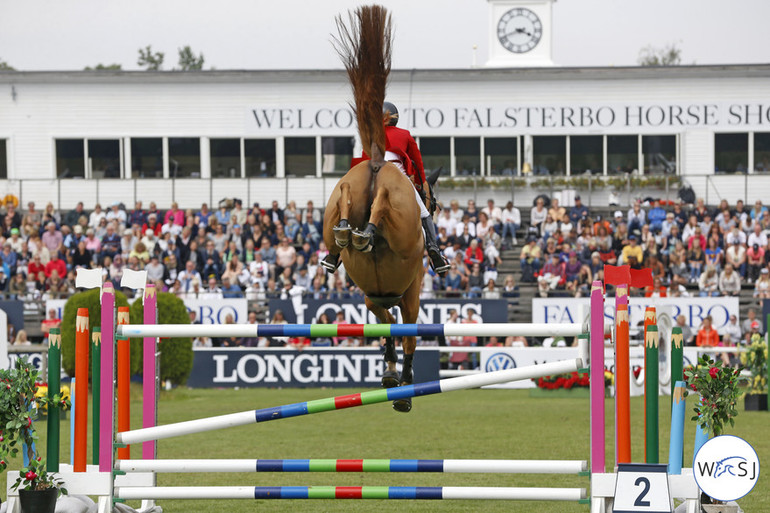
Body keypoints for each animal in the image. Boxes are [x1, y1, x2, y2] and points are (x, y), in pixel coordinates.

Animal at [320, 5, 424, 412]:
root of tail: (380, 161)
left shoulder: (373, 296)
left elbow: (389, 328)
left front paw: (392, 374)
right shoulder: (409, 292)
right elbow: (406, 333)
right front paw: (403, 383)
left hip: (343, 196)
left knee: (349, 197)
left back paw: (349, 230)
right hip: (399, 229)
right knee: (380, 209)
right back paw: (363, 231)